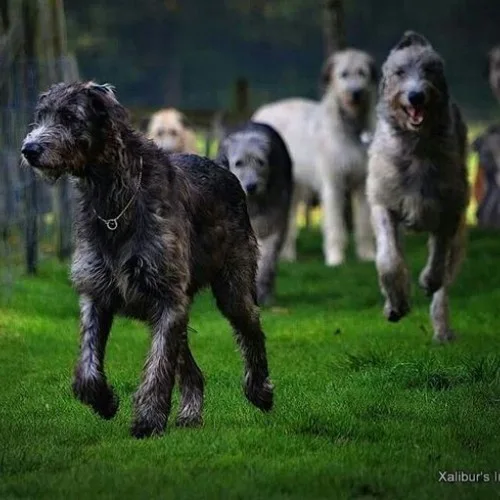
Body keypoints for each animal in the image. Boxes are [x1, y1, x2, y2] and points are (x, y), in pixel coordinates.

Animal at [20, 81, 274, 438]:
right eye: (41, 115)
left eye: (69, 117)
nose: (29, 149)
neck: (114, 197)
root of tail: (224, 169)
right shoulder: (97, 293)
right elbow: (87, 367)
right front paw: (104, 401)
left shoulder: (167, 297)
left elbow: (158, 365)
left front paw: (148, 421)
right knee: (190, 364)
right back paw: (190, 413)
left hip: (232, 287)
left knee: (250, 328)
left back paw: (259, 390)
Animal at [216, 122, 292, 308]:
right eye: (238, 163)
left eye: (260, 162)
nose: (251, 186)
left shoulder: (273, 223)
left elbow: (268, 258)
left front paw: (263, 291)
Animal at [252, 48, 376, 266]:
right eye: (343, 74)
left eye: (362, 73)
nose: (356, 93)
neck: (350, 128)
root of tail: (262, 111)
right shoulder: (333, 184)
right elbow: (335, 224)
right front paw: (336, 259)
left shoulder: (361, 184)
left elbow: (364, 223)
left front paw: (367, 255)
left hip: (295, 187)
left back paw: (287, 256)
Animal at [368, 32, 468, 344]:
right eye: (399, 72)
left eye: (429, 70)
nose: (416, 95)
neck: (416, 146)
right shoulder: (384, 199)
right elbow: (388, 259)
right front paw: (397, 302)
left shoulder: (451, 204)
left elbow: (440, 251)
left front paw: (428, 279)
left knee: (447, 276)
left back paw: (442, 328)